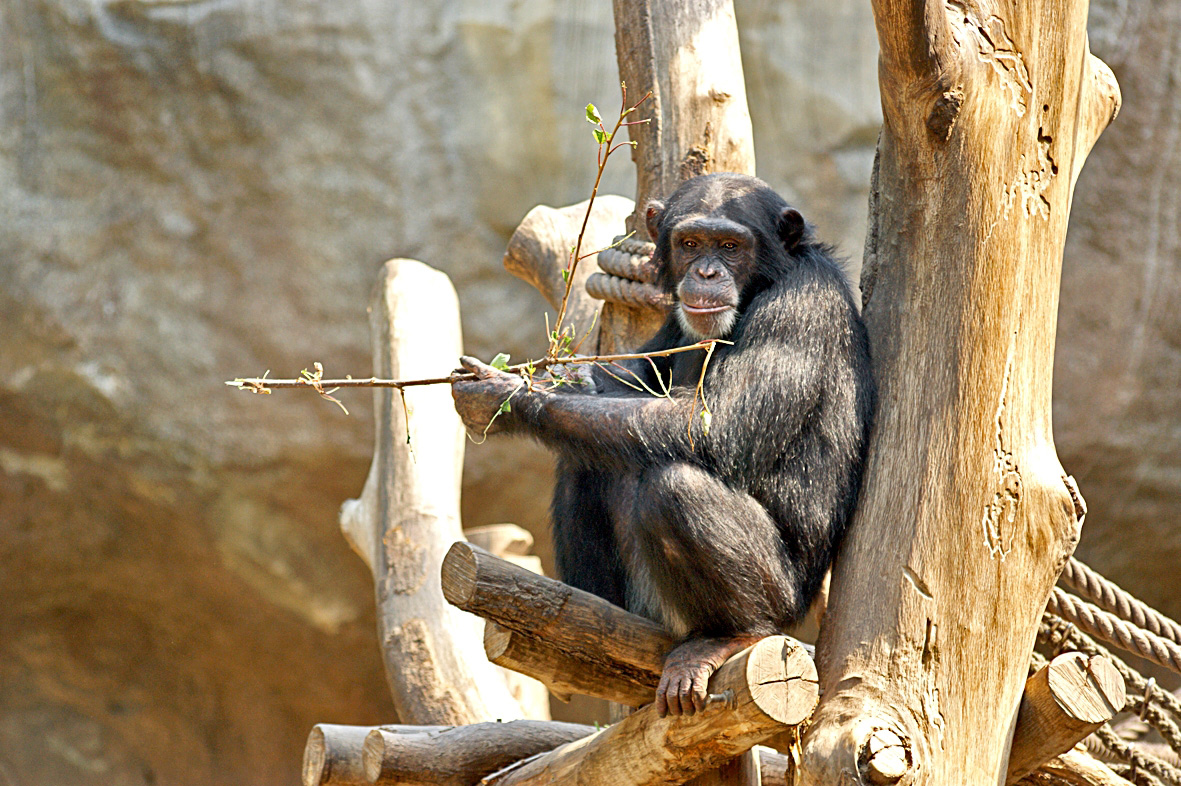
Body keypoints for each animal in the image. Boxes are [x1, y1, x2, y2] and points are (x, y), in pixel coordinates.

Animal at [451, 174, 878, 712]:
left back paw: (728, 637)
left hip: (784, 602)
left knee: (674, 487)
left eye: (731, 246)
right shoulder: (673, 323)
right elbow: (622, 384)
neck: (765, 281)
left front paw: (506, 395)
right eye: (690, 243)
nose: (707, 271)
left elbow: (715, 425)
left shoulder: (801, 305)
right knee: (585, 462)